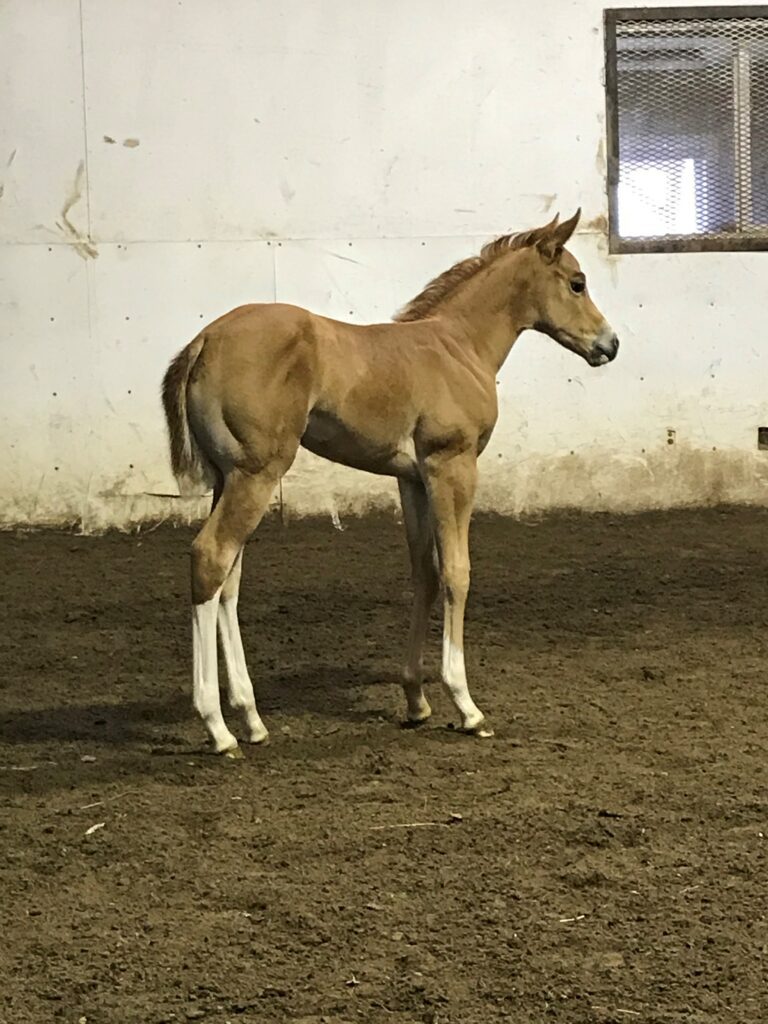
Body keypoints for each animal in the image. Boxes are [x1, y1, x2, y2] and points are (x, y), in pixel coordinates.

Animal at [161, 209, 619, 758]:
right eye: (577, 283)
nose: (610, 345)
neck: (459, 346)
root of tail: (203, 341)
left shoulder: (413, 480)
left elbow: (424, 573)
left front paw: (416, 701)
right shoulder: (452, 467)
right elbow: (457, 573)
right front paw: (466, 706)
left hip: (227, 479)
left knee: (228, 581)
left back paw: (251, 718)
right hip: (256, 474)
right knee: (211, 559)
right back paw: (218, 728)